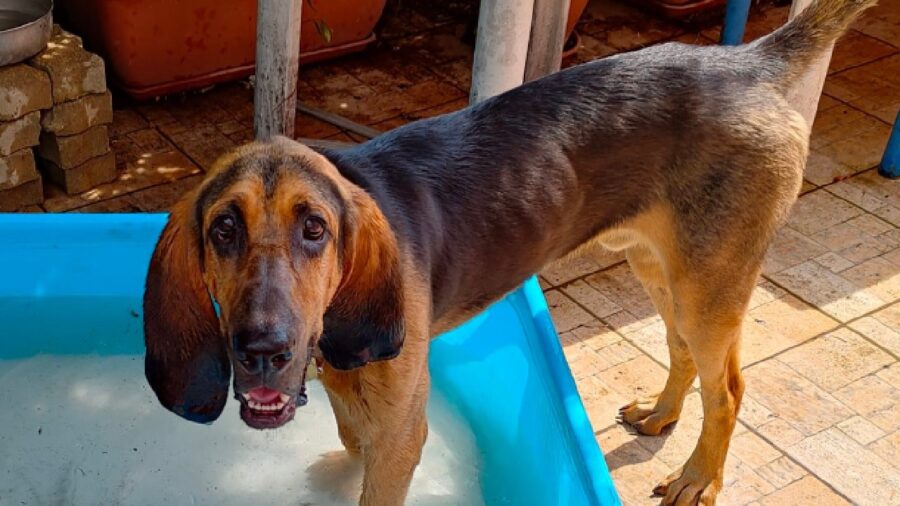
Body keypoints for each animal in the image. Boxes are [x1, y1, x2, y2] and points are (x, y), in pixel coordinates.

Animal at [144, 1, 876, 504]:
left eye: (315, 229)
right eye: (223, 229)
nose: (262, 348)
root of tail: (748, 62)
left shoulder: (402, 429)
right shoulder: (358, 396)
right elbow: (351, 441)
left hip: (710, 281)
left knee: (729, 387)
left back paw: (698, 477)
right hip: (659, 266)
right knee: (683, 352)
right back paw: (660, 414)